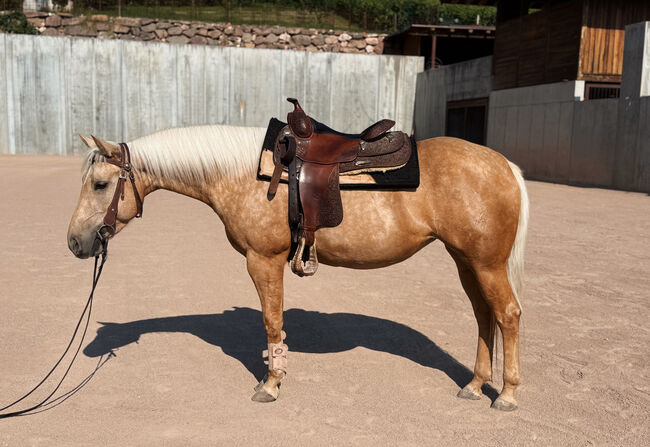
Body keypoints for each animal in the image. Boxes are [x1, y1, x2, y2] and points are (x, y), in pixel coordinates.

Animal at [67, 124, 529, 411]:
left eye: (101, 184)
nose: (75, 242)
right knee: (484, 316)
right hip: (466, 262)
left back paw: (506, 395)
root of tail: (504, 165)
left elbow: (273, 322)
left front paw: (271, 384)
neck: (244, 174)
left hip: (486, 264)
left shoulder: (263, 261)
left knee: (507, 315)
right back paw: (474, 386)